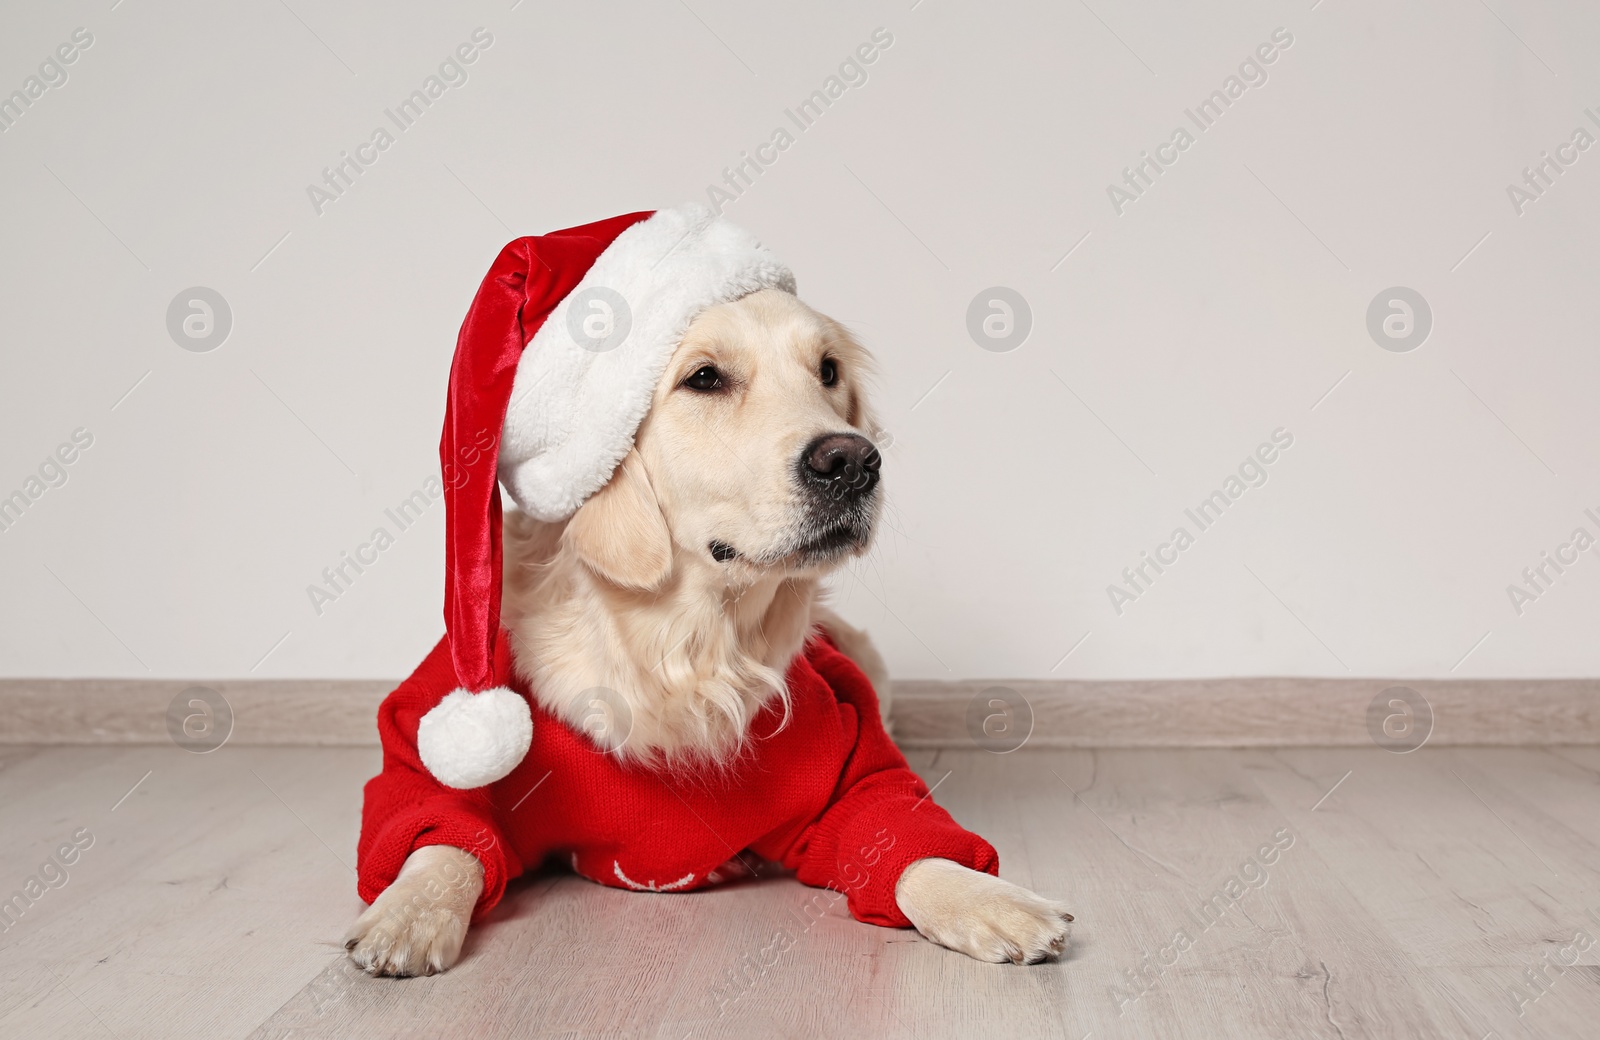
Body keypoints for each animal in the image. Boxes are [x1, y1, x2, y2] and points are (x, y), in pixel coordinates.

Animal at [350, 283, 1075, 972]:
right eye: (704, 378)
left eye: (828, 370)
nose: (854, 463)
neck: (685, 644)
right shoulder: (436, 750)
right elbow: (441, 833)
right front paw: (407, 915)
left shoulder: (850, 757)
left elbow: (902, 834)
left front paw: (993, 902)